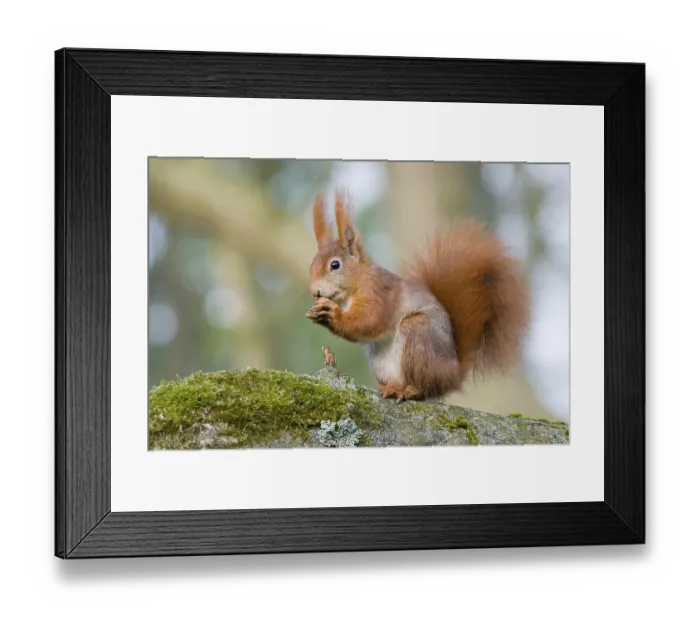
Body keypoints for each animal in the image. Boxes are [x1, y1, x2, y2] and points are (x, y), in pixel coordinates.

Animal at [305, 190, 530, 403]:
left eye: (335, 265)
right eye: (312, 265)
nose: (315, 291)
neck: (356, 284)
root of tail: (453, 375)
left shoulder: (379, 293)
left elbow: (370, 320)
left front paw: (332, 314)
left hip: (419, 334)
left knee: (423, 389)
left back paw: (406, 391)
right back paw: (391, 387)